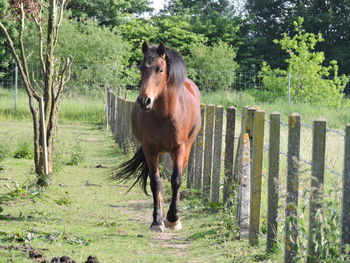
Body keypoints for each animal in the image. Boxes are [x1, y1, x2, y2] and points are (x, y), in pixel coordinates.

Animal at [115, 41, 201, 233]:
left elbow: (176, 180)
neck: (165, 114)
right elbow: (156, 182)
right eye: (141, 68)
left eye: (160, 69)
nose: (144, 100)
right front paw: (157, 221)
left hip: (185, 149)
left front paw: (173, 219)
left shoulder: (179, 148)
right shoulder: (150, 149)